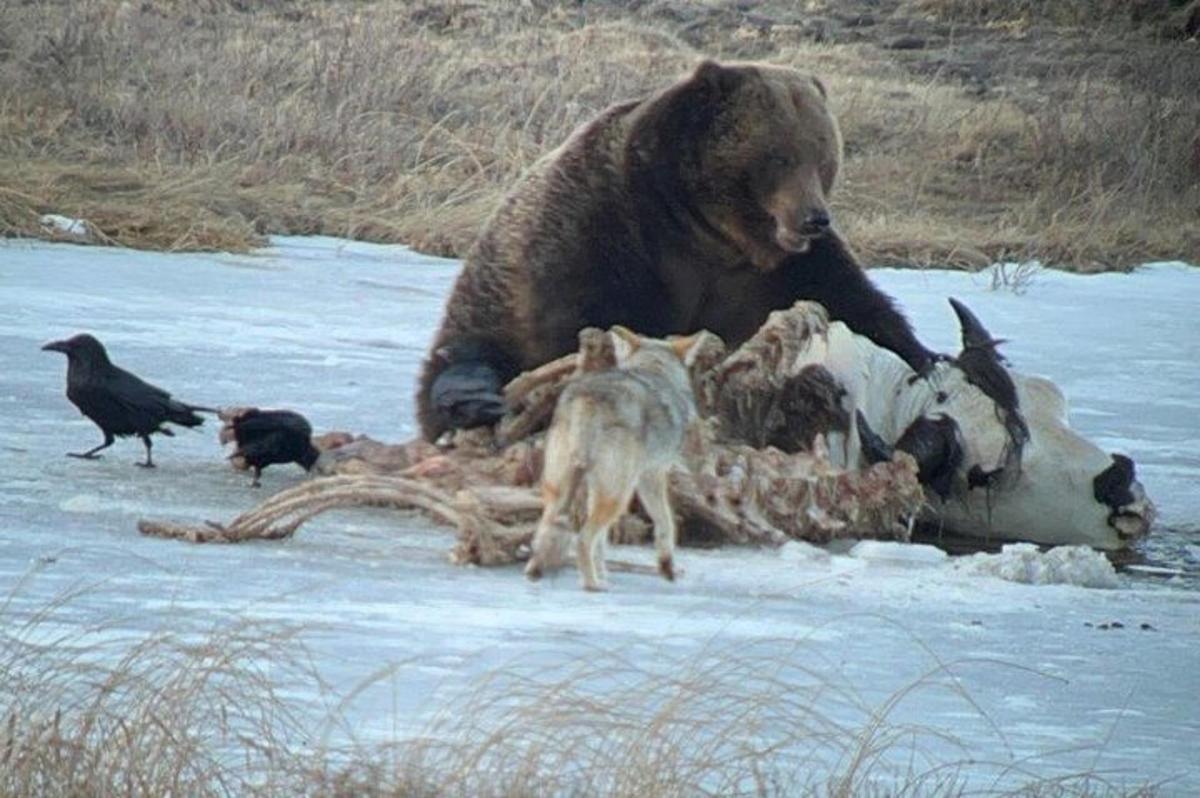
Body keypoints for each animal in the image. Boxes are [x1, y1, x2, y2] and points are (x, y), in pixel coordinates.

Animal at [417, 58, 931, 439]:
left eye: (824, 155)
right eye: (779, 155)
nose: (814, 218)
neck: (705, 232)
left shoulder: (776, 274)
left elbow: (858, 305)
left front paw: (926, 360)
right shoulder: (607, 230)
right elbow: (586, 321)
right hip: (485, 311)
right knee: (465, 362)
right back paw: (476, 399)